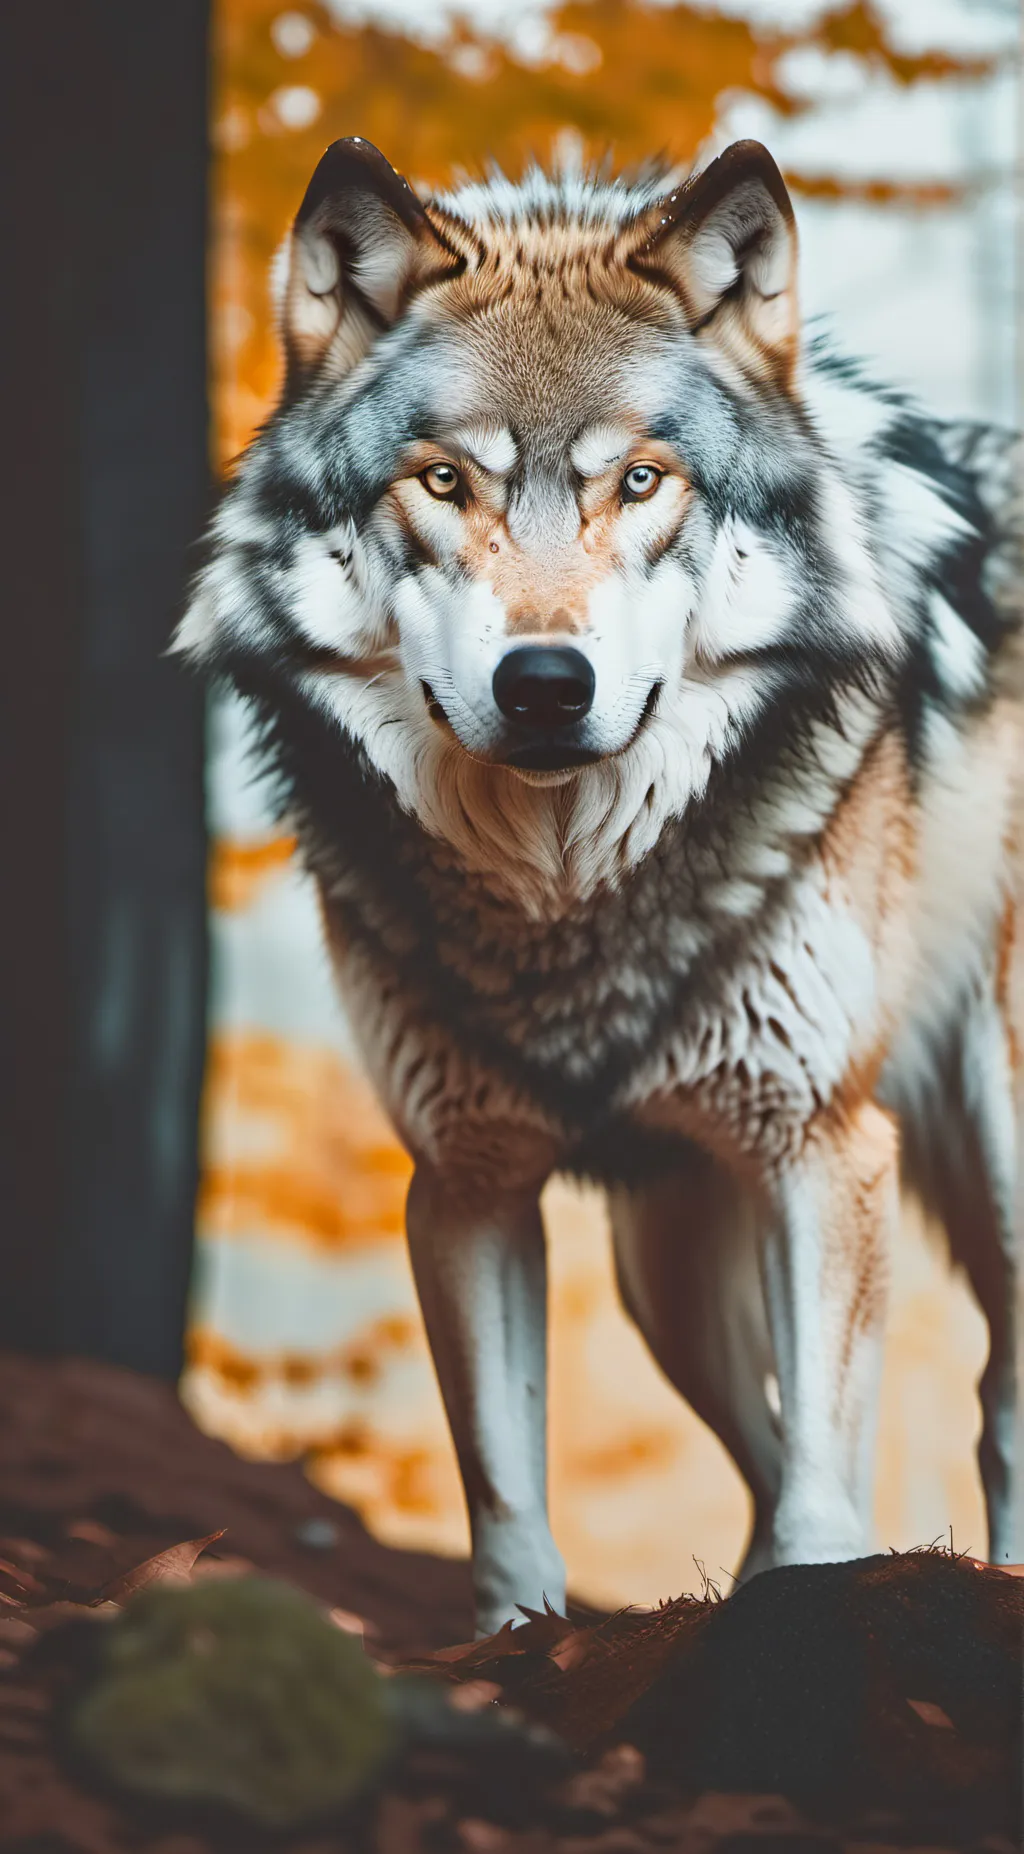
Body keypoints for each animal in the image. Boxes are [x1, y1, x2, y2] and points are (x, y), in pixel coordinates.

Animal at [176, 135, 1023, 1636]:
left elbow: (825, 1487)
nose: (544, 683)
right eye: (441, 484)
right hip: (666, 1269)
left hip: (993, 1149)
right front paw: (522, 1643)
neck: (569, 896)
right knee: (759, 1439)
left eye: (638, 482)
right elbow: (510, 1497)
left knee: (995, 1406)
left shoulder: (822, 1146)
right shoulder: (467, 1178)